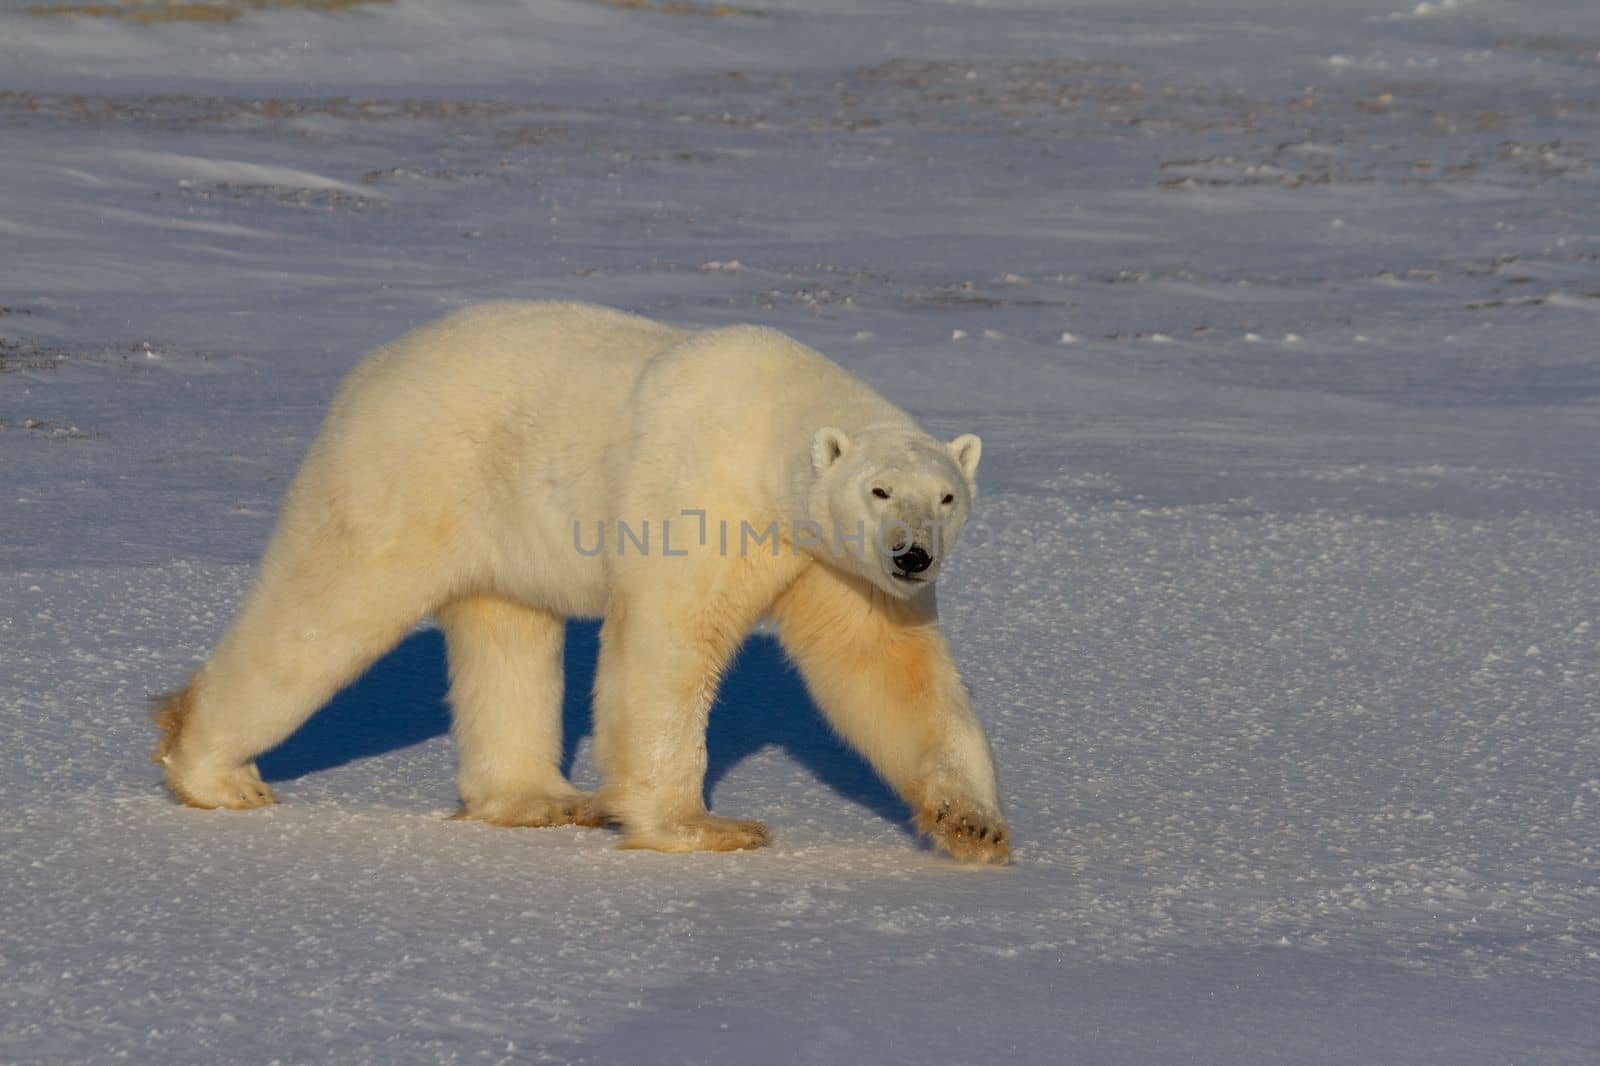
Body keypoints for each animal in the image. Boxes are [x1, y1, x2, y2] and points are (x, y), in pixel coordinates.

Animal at [162, 294, 1011, 857]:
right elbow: (670, 645)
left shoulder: (836, 566)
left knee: (506, 637)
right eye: (879, 491)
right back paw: (214, 771)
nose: (912, 555)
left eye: (946, 495)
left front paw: (973, 823)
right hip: (405, 476)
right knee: (325, 611)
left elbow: (888, 671)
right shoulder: (702, 497)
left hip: (496, 523)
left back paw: (537, 799)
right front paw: (704, 826)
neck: (774, 417)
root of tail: (371, 369)